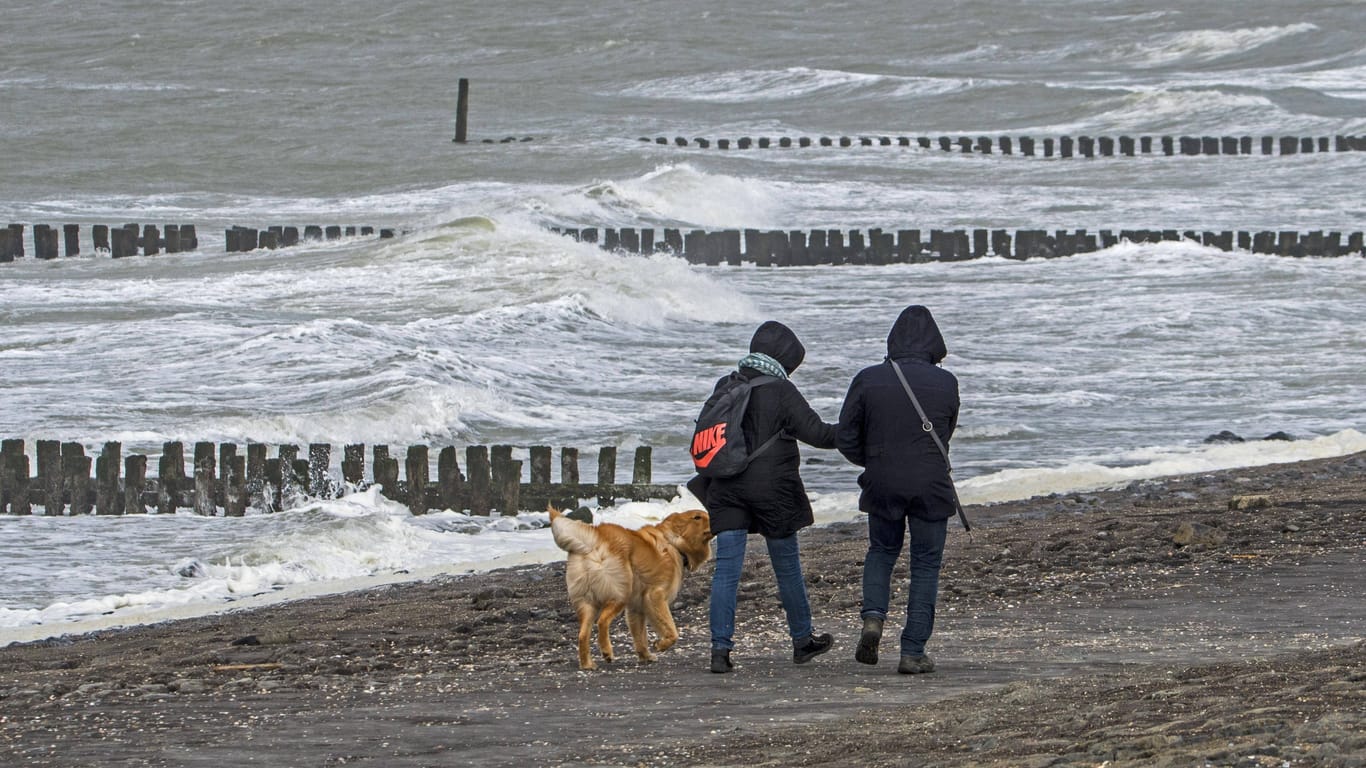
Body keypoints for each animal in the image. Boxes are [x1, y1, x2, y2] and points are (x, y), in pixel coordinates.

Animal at [546, 505, 715, 666]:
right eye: (697, 517)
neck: (673, 542)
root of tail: (592, 543)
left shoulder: (636, 607)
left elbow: (640, 636)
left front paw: (645, 655)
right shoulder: (655, 596)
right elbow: (672, 631)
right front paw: (661, 645)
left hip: (587, 603)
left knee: (582, 634)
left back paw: (587, 664)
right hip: (620, 593)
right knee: (602, 621)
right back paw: (607, 651)